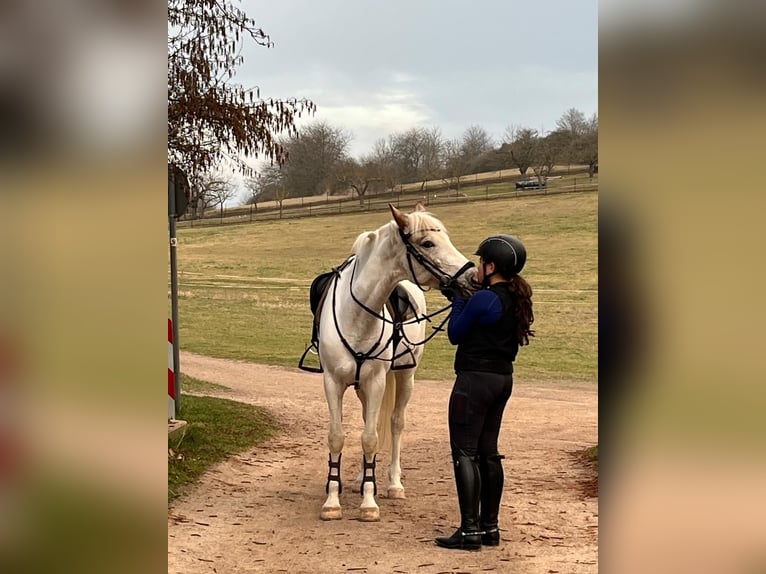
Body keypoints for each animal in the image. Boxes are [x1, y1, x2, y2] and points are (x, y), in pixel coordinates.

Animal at [315, 203, 477, 522]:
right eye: (428, 243)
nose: (472, 276)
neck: (356, 314)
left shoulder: (377, 381)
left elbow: (371, 437)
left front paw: (369, 502)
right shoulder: (333, 382)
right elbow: (337, 436)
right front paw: (332, 499)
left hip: (405, 377)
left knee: (395, 423)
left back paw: (391, 483)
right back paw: (360, 478)